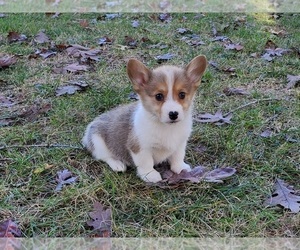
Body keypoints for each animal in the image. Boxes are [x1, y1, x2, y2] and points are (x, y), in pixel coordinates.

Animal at [83, 55, 207, 183]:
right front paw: (150, 175)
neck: (166, 127)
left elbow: (178, 156)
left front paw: (180, 168)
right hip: (97, 141)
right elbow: (146, 162)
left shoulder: (180, 143)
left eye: (182, 95)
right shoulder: (139, 147)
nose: (173, 114)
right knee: (104, 156)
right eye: (158, 96)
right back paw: (118, 164)